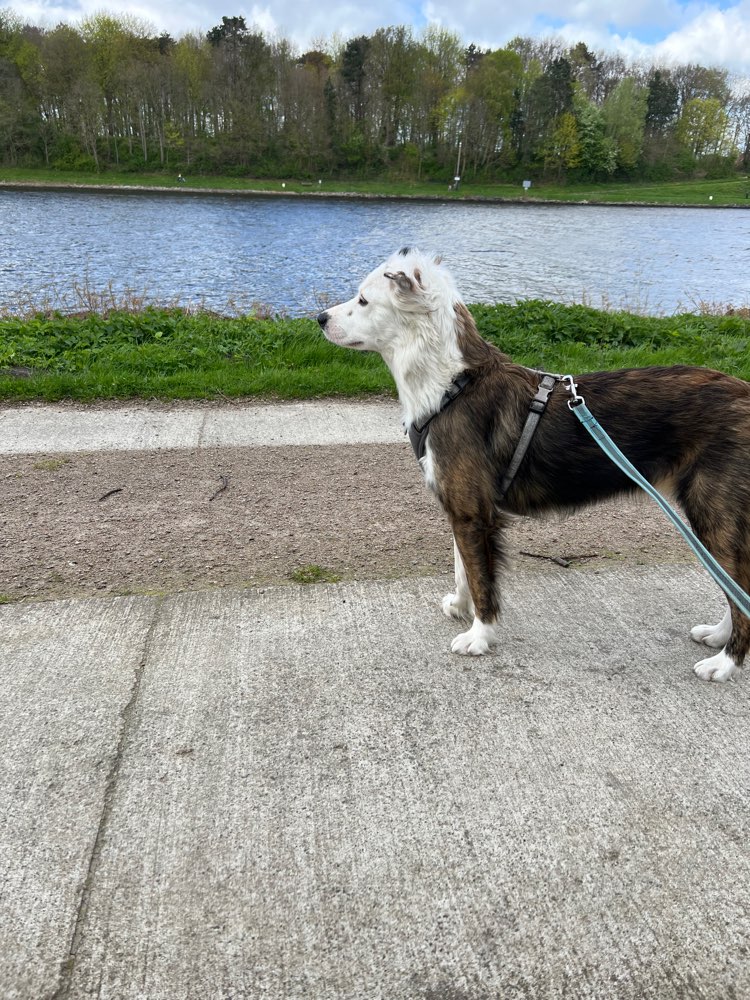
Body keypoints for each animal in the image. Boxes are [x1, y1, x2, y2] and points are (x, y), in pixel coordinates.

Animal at [318, 247, 750, 680]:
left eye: (363, 300)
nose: (320, 319)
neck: (452, 385)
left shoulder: (474, 514)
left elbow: (480, 578)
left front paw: (479, 635)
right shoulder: (461, 508)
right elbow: (462, 568)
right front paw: (460, 606)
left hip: (714, 513)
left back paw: (725, 661)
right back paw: (717, 635)